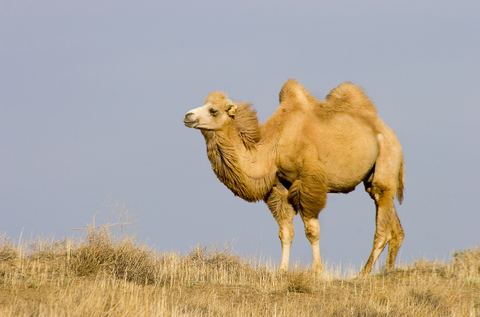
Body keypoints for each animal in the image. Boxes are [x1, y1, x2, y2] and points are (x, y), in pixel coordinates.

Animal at [184, 79, 404, 274]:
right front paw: (282, 270)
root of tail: (389, 132)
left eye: (213, 110)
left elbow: (312, 231)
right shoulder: (279, 186)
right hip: (373, 178)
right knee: (393, 223)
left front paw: (317, 271)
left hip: (386, 158)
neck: (274, 145)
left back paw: (364, 273)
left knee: (382, 225)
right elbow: (285, 232)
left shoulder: (308, 181)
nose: (187, 116)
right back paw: (387, 270)